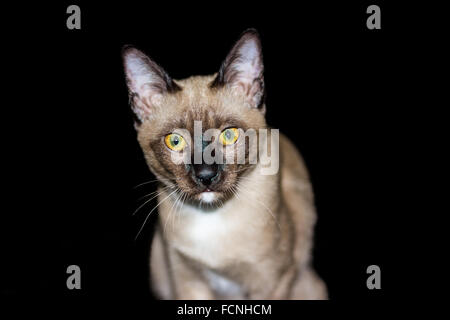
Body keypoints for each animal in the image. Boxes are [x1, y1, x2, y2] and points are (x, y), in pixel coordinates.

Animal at [122, 28, 326, 298]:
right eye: (175, 141)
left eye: (229, 135)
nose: (206, 175)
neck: (213, 217)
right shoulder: (187, 282)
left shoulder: (272, 283)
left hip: (310, 285)